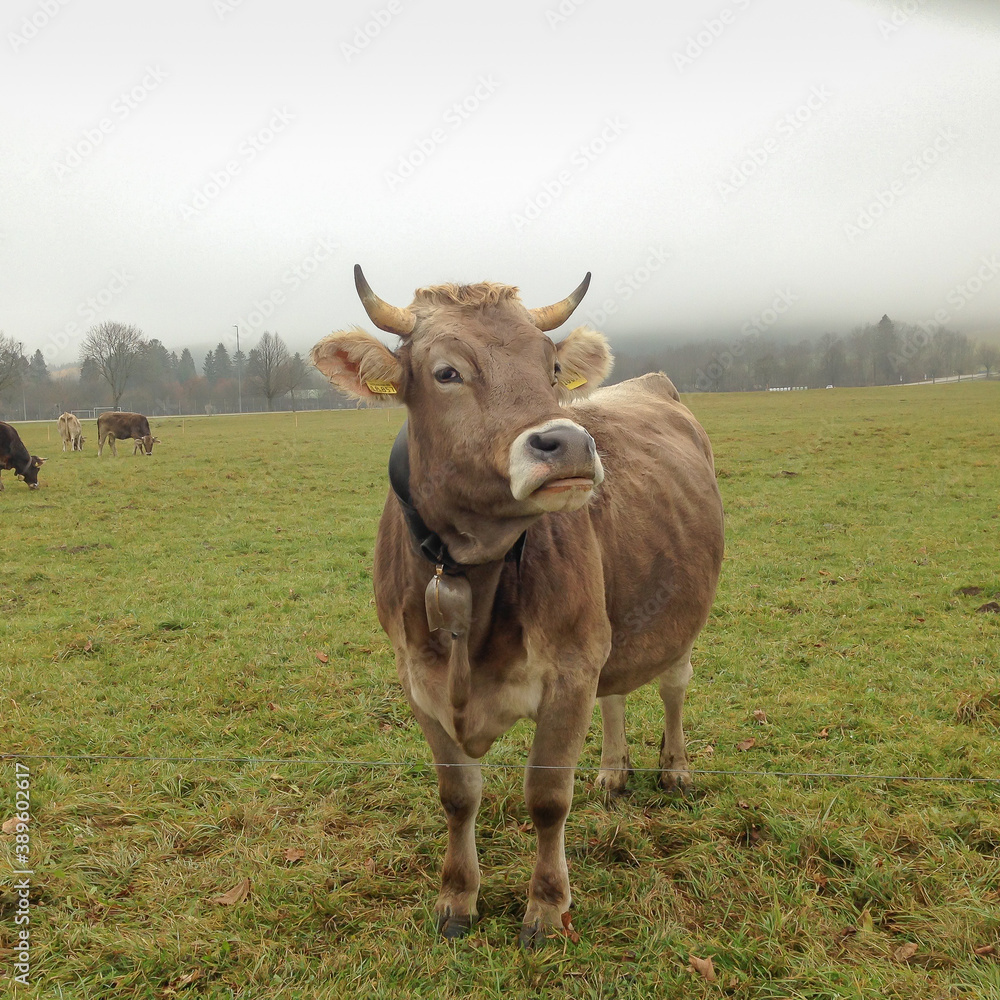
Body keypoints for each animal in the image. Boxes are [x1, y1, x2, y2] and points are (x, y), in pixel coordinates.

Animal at [308, 266, 724, 944]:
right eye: (446, 372)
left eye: (551, 368)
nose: (570, 443)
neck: (472, 573)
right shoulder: (417, 677)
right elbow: (458, 796)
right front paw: (457, 898)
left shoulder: (570, 671)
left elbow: (548, 799)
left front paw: (547, 907)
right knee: (616, 691)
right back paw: (613, 770)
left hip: (681, 613)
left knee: (673, 685)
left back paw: (675, 767)